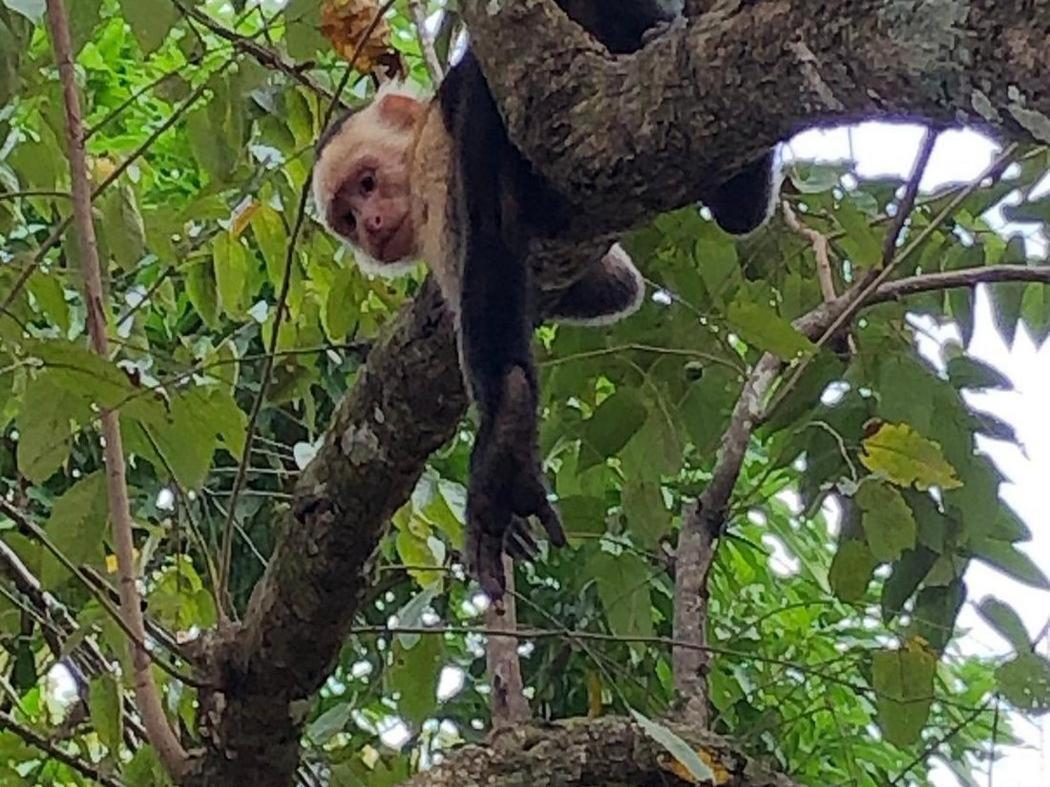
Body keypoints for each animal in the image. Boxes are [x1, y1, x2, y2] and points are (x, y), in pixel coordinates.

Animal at [310, 0, 781, 596]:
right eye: (346, 217)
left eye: (367, 183)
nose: (369, 227)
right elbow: (616, 286)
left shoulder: (430, 169)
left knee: (486, 156)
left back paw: (506, 428)